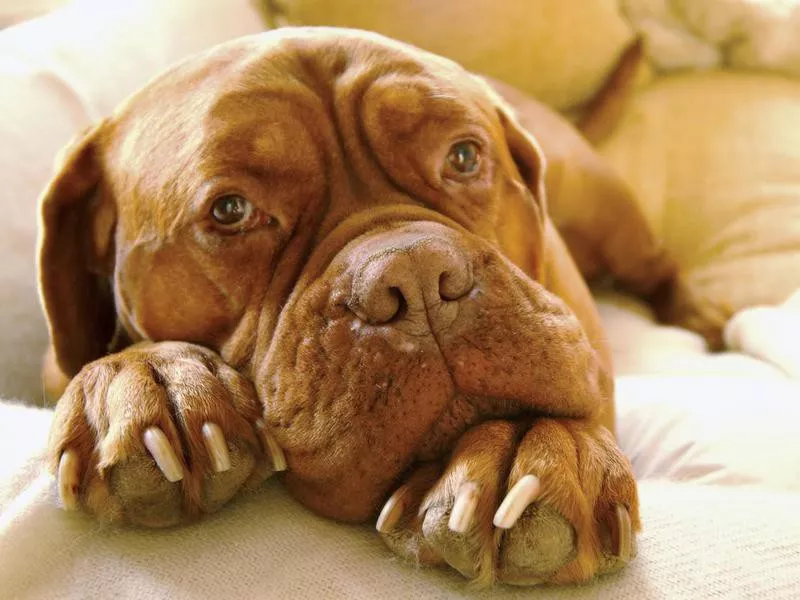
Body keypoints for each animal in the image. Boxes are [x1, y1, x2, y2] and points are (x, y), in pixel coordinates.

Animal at [37, 28, 724, 584]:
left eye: (464, 156)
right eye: (230, 210)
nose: (417, 277)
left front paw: (528, 443)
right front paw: (145, 377)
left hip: (611, 221)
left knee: (662, 267)